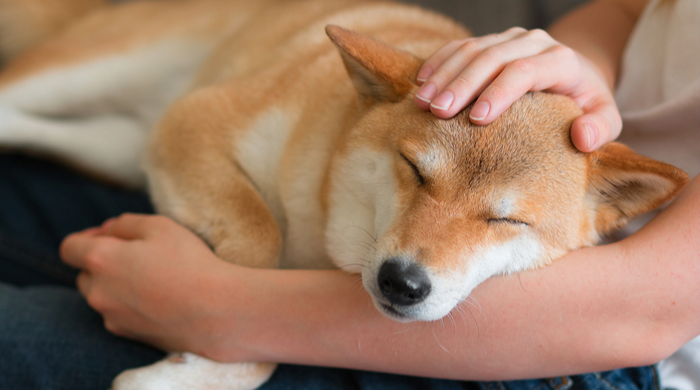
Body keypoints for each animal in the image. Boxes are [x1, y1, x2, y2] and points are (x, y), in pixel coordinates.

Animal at [0, 0, 688, 388]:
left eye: (507, 222)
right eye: (414, 170)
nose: (402, 283)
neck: (320, 228)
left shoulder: (172, 134)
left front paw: (195, 371)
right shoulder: (195, 120)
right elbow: (257, 240)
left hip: (116, 142)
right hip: (94, 70)